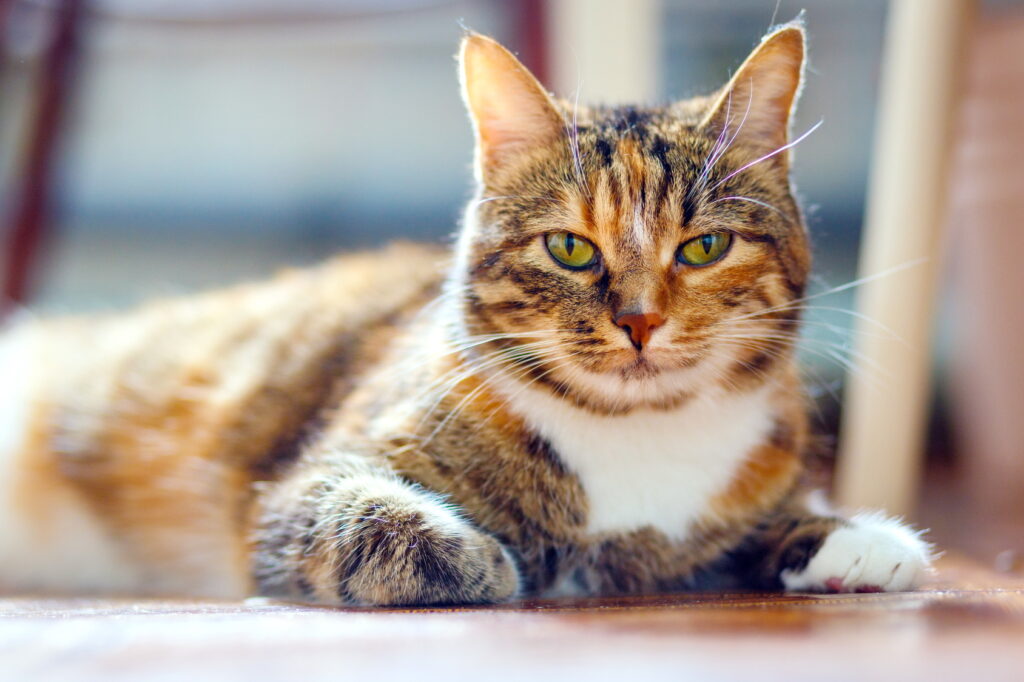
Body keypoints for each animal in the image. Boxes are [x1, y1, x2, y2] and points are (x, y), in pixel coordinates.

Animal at [0, 22, 933, 606]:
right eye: (570, 249)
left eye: (704, 247)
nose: (638, 322)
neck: (635, 439)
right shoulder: (306, 485)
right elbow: (372, 517)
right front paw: (489, 558)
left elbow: (756, 528)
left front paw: (851, 537)